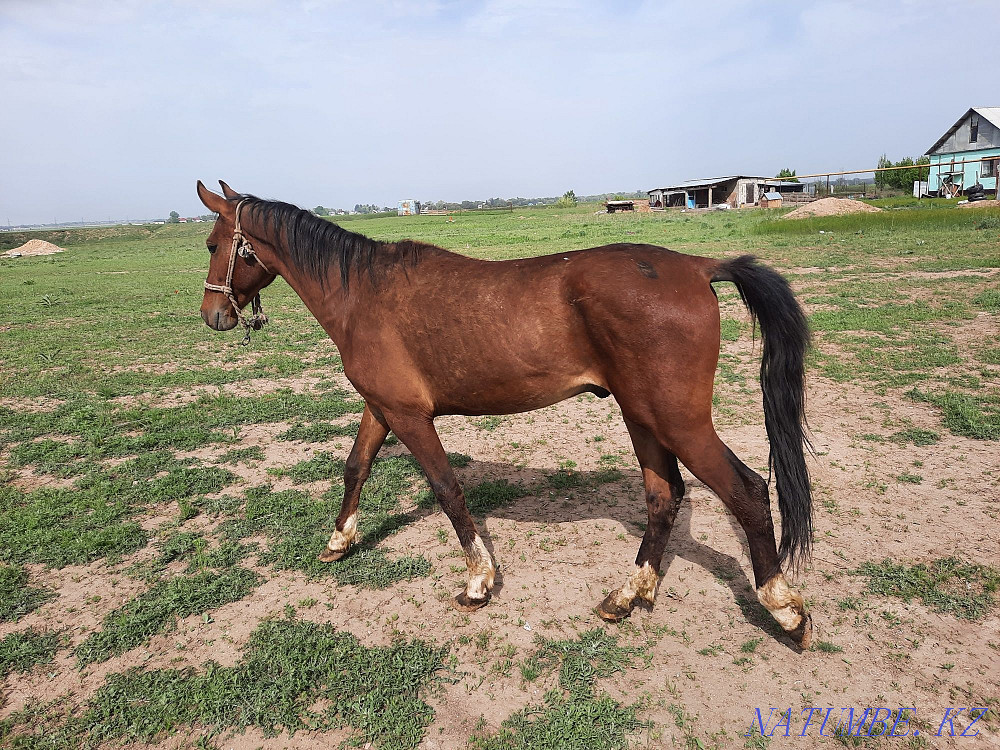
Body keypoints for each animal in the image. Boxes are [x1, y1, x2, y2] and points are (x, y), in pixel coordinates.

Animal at [196, 180, 814, 648]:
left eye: (211, 242)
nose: (212, 315)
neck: (363, 295)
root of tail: (697, 266)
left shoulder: (410, 417)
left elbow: (447, 490)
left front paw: (478, 581)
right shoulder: (382, 407)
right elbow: (356, 468)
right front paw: (339, 540)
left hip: (677, 421)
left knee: (747, 491)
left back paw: (784, 608)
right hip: (643, 418)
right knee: (664, 497)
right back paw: (628, 595)